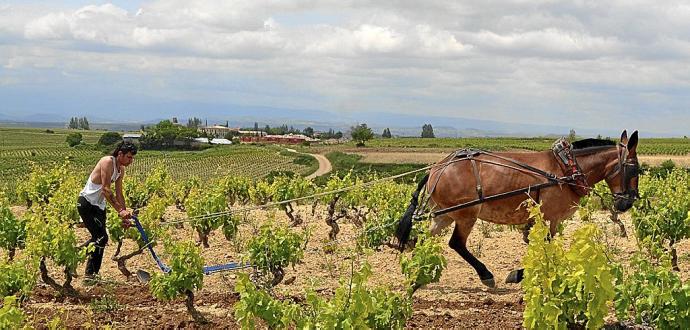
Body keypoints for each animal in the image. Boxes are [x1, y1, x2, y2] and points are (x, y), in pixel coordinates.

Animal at [398, 129, 640, 286]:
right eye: (635, 170)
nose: (627, 202)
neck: (566, 169)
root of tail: (437, 168)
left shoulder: (543, 220)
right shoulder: (550, 217)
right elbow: (544, 246)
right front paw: (518, 274)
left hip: (445, 214)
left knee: (424, 238)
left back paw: (419, 272)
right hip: (466, 214)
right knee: (456, 243)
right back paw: (485, 275)